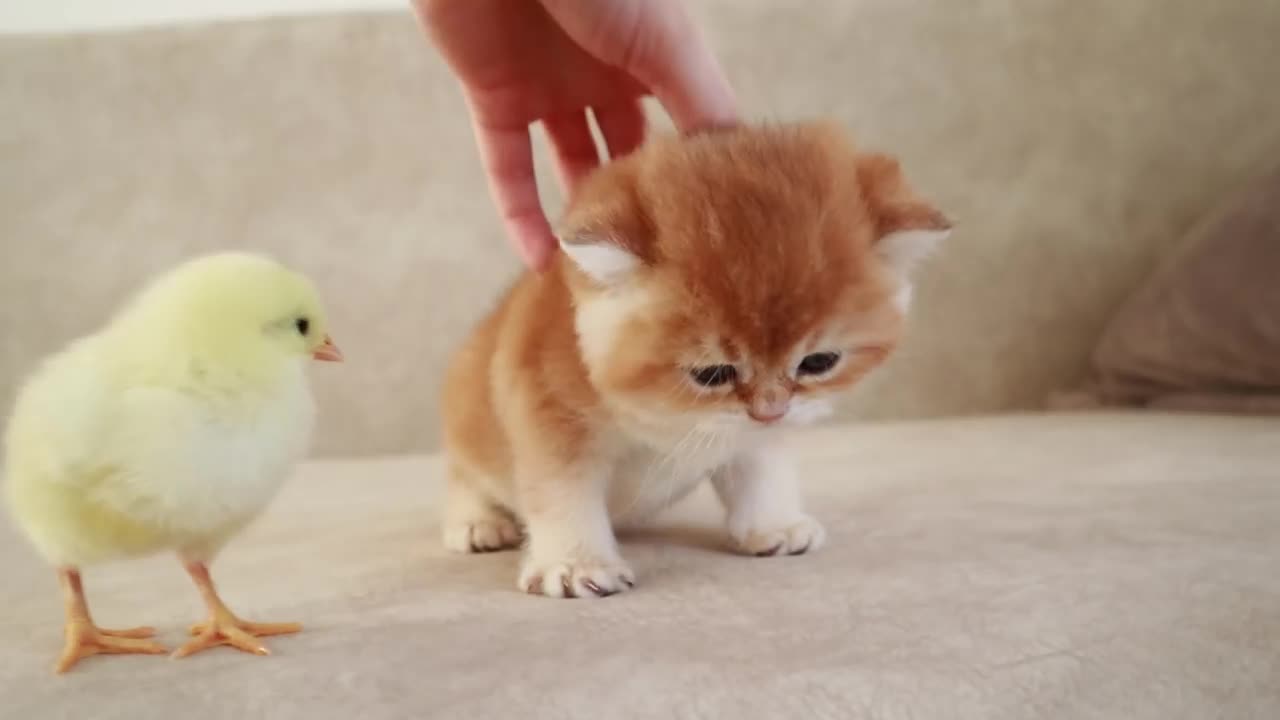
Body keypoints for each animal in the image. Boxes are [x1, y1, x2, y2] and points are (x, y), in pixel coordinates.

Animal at [440, 120, 952, 597]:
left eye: (818, 362)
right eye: (712, 374)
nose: (771, 411)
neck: (663, 413)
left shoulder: (751, 433)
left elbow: (759, 466)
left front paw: (774, 525)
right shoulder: (545, 404)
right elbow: (561, 492)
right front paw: (575, 564)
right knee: (464, 473)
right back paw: (477, 522)